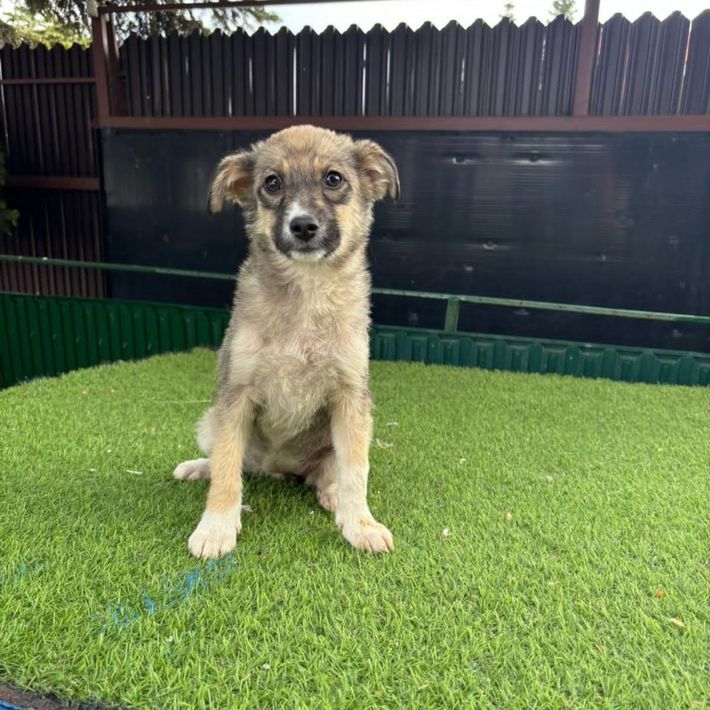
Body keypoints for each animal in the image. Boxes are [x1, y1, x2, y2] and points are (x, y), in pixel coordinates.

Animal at [172, 125, 400, 559]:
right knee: (233, 463)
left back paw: (331, 496)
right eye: (272, 183)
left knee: (328, 475)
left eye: (333, 179)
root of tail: (278, 468)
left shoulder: (351, 397)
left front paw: (360, 524)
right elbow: (226, 470)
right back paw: (197, 468)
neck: (306, 292)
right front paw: (216, 528)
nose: (303, 226)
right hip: (211, 421)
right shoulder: (236, 395)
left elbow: (356, 472)